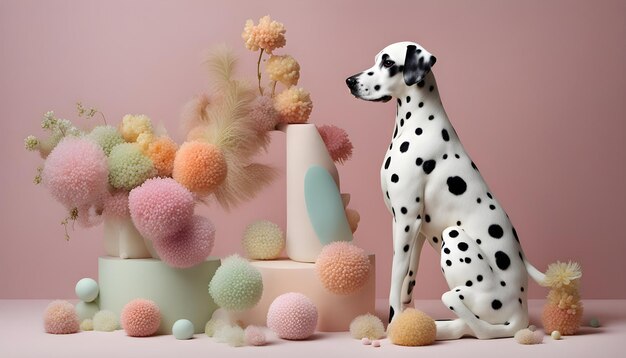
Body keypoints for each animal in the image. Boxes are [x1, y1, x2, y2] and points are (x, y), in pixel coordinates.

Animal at [344, 42, 544, 338]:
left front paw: (394, 323)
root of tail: (521, 312)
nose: (350, 81)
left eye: (388, 63)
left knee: (468, 314)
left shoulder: (405, 220)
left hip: (455, 240)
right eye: (376, 60)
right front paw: (408, 319)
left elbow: (396, 275)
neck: (418, 123)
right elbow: (409, 279)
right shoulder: (413, 228)